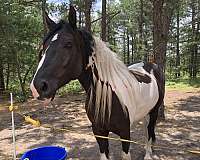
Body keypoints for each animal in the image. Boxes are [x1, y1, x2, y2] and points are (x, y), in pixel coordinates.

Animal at [30, 5, 164, 159]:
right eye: (44, 46)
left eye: (68, 44)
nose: (37, 87)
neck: (109, 94)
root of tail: (152, 65)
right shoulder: (99, 132)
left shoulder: (125, 134)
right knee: (146, 130)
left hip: (154, 112)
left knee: (150, 131)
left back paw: (148, 153)